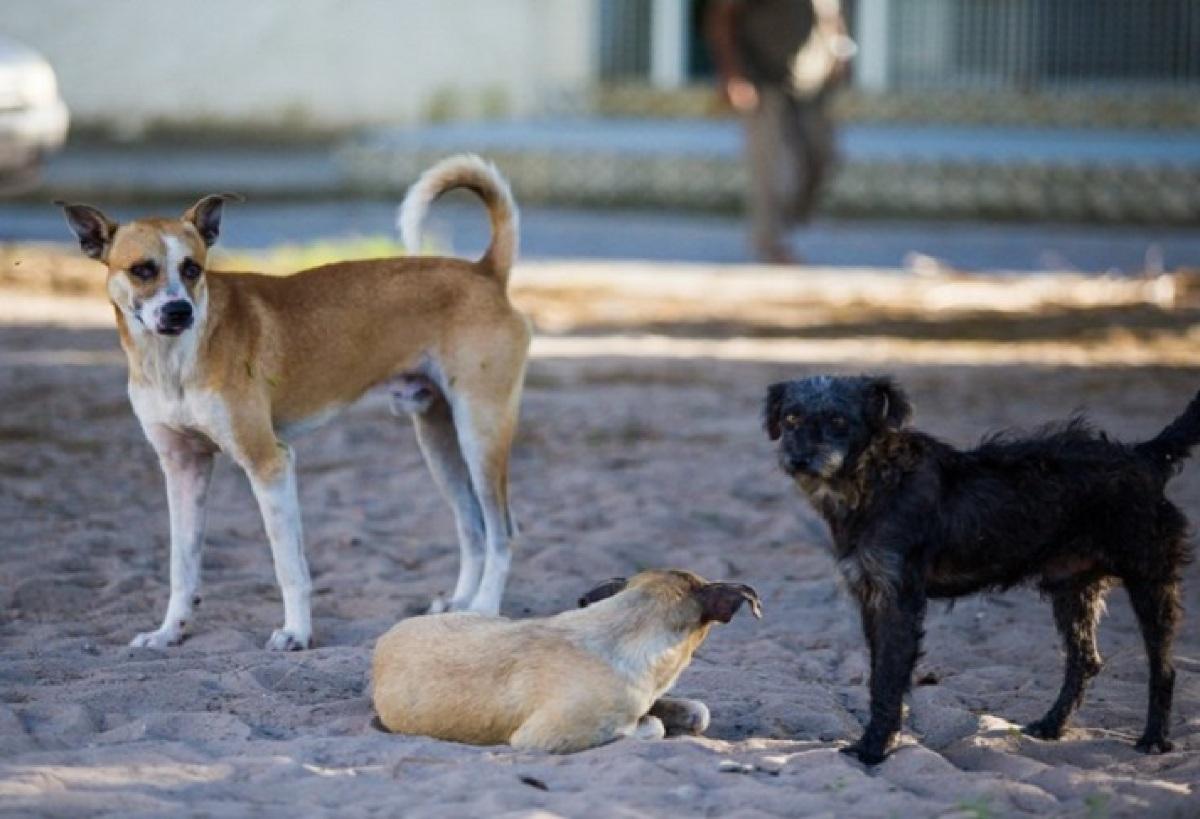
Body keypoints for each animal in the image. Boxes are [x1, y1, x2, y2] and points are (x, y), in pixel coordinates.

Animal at [57, 154, 530, 648]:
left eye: (192, 269)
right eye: (142, 270)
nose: (178, 311)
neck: (175, 358)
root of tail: (484, 272)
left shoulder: (270, 462)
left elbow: (289, 567)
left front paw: (296, 633)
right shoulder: (183, 466)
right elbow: (181, 567)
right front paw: (169, 632)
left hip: (480, 433)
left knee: (502, 530)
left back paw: (485, 608)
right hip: (438, 440)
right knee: (473, 528)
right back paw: (461, 608)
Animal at [763, 372, 1195, 763]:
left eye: (839, 421)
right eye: (791, 418)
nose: (798, 458)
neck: (874, 479)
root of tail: (1145, 456)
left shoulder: (898, 598)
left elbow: (888, 677)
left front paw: (875, 748)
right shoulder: (871, 594)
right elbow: (876, 674)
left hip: (1150, 577)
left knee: (1163, 668)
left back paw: (1154, 739)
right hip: (1071, 587)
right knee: (1084, 660)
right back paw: (1051, 726)